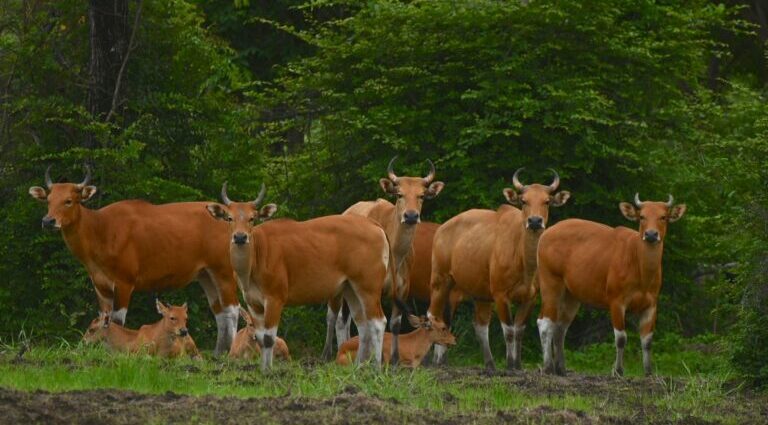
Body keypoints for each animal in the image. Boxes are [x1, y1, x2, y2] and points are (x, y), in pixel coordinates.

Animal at [29, 165, 240, 355]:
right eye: (48, 200)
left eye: (69, 201)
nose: (48, 221)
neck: (101, 231)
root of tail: (229, 217)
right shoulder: (100, 285)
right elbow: (103, 318)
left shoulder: (124, 282)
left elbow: (115, 320)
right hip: (206, 274)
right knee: (220, 312)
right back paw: (218, 353)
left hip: (224, 270)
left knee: (232, 310)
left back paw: (229, 353)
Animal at [206, 183, 389, 370]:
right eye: (229, 218)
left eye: (252, 218)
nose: (240, 237)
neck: (257, 257)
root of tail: (374, 224)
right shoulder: (253, 303)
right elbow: (261, 338)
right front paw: (263, 368)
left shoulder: (275, 298)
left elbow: (269, 338)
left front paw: (268, 371)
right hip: (350, 289)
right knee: (364, 325)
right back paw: (359, 365)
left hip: (369, 287)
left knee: (378, 322)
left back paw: (376, 366)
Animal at [322, 157, 444, 364]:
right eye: (400, 194)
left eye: (421, 195)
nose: (411, 216)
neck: (394, 253)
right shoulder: (373, 288)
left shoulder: (402, 290)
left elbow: (395, 324)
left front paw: (393, 359)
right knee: (334, 317)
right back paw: (328, 352)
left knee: (345, 319)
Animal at [428, 169, 570, 370]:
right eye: (524, 201)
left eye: (547, 201)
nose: (535, 221)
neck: (524, 263)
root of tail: (441, 229)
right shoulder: (500, 295)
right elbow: (509, 330)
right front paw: (510, 365)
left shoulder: (530, 298)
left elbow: (519, 331)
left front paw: (517, 365)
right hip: (440, 280)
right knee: (433, 315)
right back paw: (434, 361)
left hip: (475, 292)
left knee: (475, 324)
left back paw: (487, 364)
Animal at [536, 194, 686, 376]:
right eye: (642, 217)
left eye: (663, 217)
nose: (651, 234)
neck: (640, 271)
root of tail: (547, 233)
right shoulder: (616, 301)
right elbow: (621, 338)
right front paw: (618, 370)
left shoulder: (651, 305)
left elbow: (647, 340)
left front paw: (649, 372)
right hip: (550, 282)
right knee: (545, 323)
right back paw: (548, 367)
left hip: (571, 295)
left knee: (560, 328)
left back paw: (561, 368)